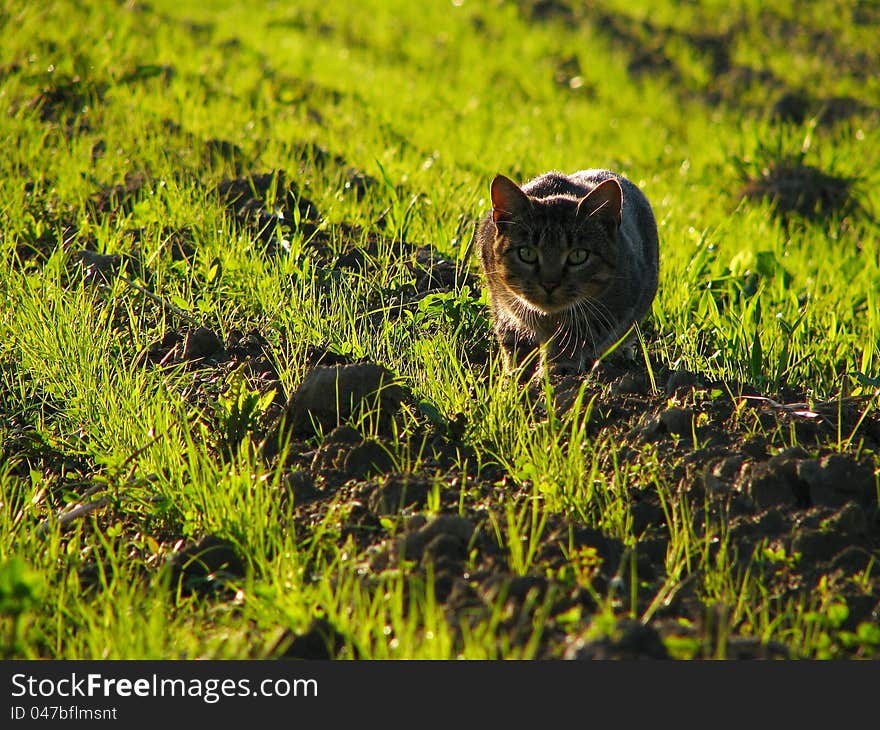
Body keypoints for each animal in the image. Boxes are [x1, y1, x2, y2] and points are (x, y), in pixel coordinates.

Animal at [478, 169, 656, 376]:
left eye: (578, 255)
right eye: (526, 253)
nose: (549, 284)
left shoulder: (614, 308)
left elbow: (575, 335)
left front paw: (557, 367)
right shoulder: (500, 298)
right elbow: (511, 334)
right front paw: (517, 371)